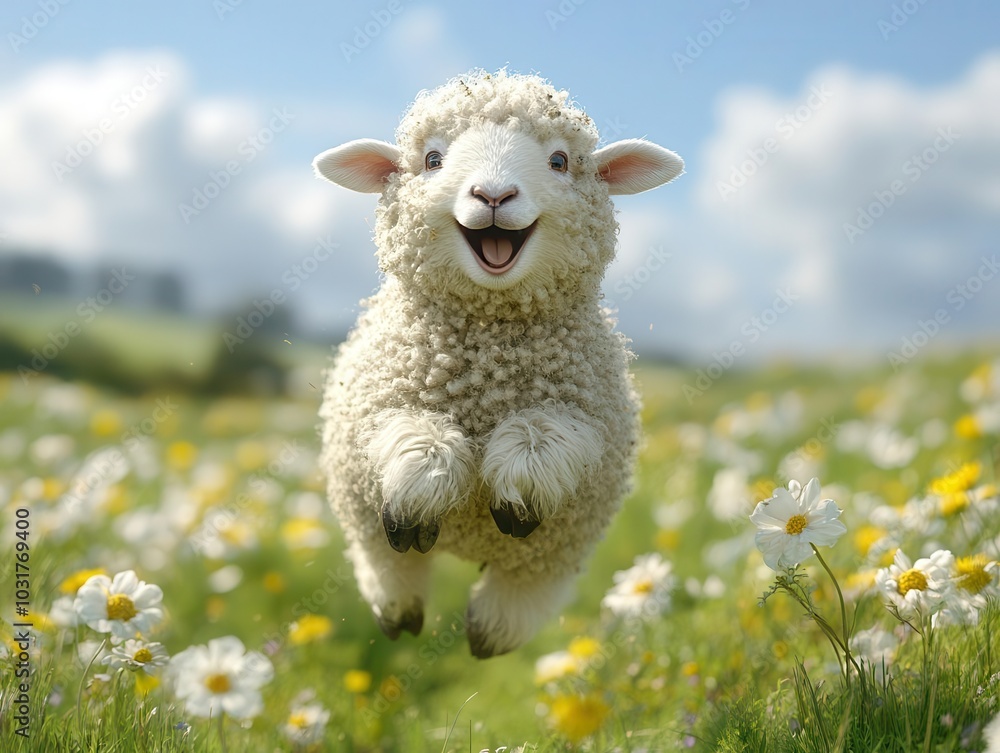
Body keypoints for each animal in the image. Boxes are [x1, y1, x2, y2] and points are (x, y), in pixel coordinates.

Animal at [314, 70, 683, 658]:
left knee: (526, 583)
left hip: (560, 548)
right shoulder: (372, 404)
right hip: (363, 513)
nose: (492, 194)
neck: (488, 361)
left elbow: (546, 431)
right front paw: (425, 479)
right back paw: (399, 609)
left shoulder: (590, 410)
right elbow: (412, 432)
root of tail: (467, 550)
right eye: (433, 159)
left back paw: (491, 632)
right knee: (387, 560)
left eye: (559, 160)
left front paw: (519, 483)